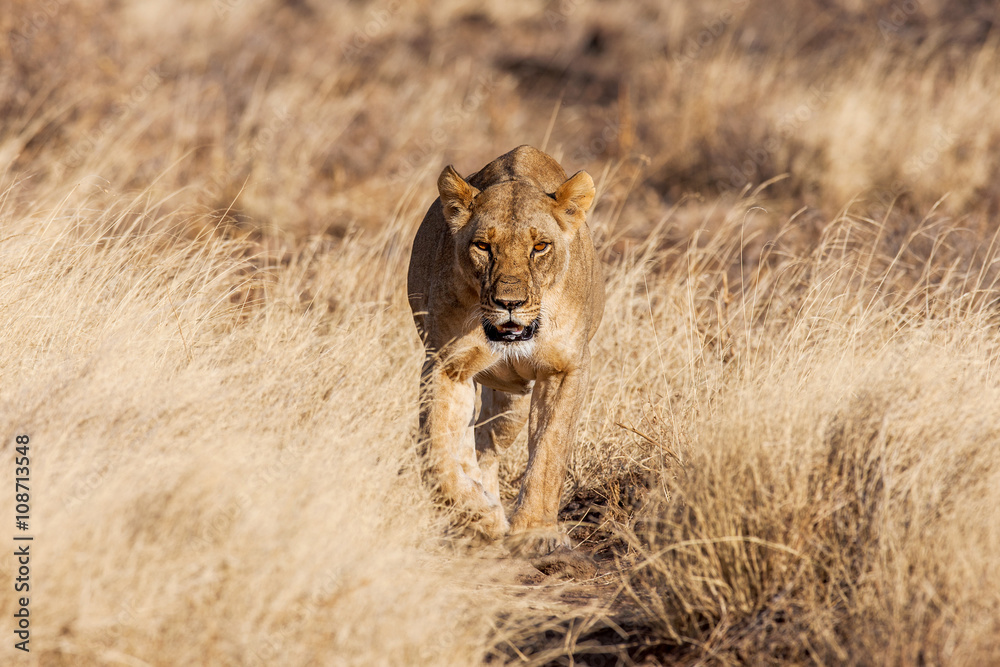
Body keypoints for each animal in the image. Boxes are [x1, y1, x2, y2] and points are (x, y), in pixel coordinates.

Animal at [407, 145, 604, 556]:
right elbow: (437, 450)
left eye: (540, 246)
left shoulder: (564, 369)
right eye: (483, 246)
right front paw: (476, 518)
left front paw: (535, 532)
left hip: (513, 403)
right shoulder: (447, 364)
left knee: (487, 442)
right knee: (474, 442)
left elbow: (550, 450)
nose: (509, 303)